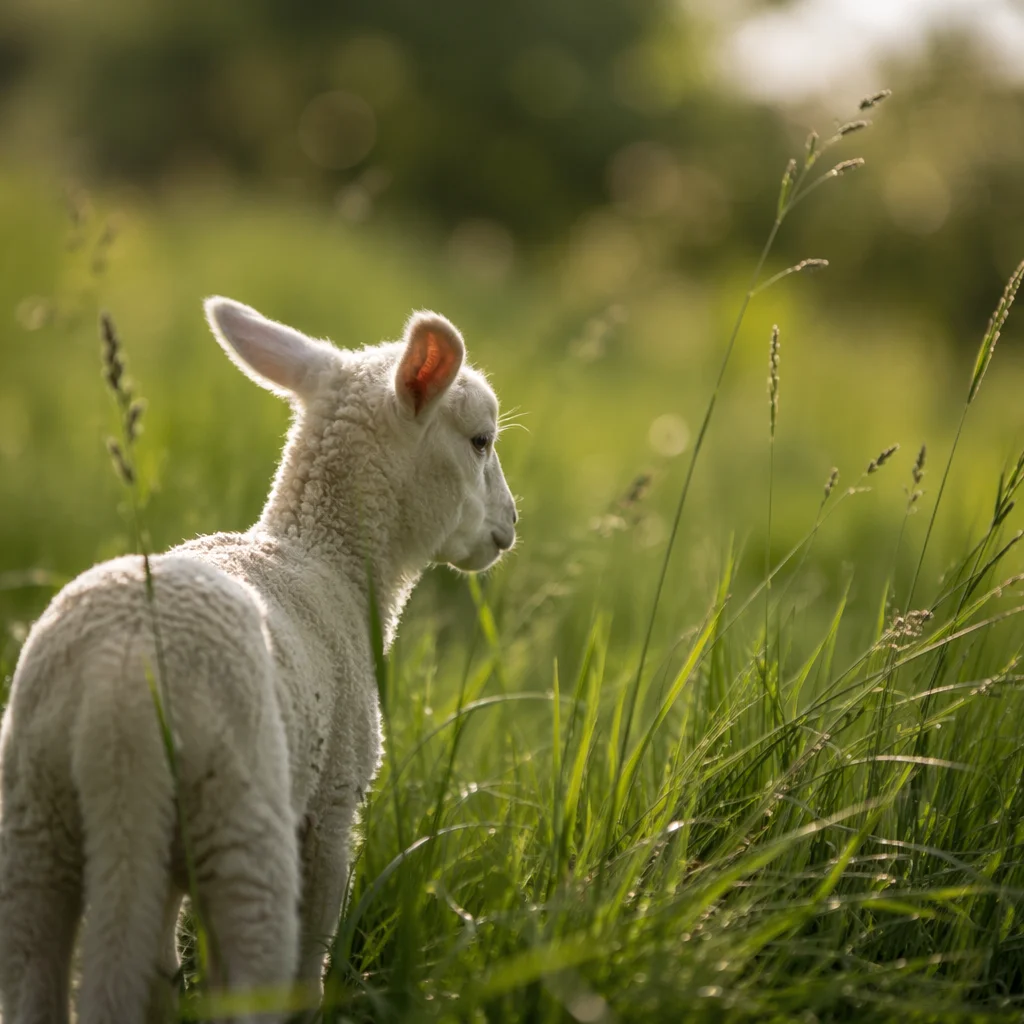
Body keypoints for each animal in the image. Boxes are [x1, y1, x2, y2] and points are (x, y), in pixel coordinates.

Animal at [0, 297, 518, 1024]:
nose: (510, 525)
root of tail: (118, 684)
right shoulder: (332, 806)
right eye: (480, 441)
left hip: (39, 821)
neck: (325, 558)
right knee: (254, 973)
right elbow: (313, 950)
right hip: (241, 820)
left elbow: (159, 967)